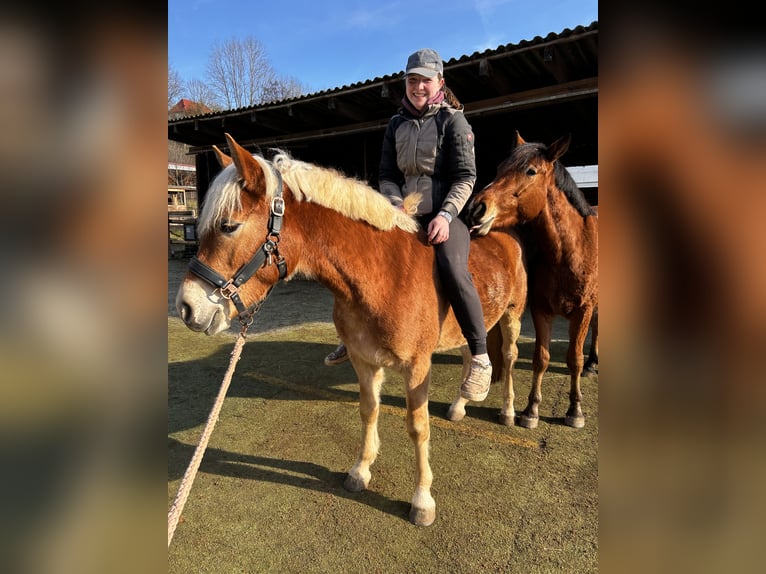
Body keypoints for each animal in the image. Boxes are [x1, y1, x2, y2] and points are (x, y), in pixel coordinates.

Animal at [176, 134, 528, 528]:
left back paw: (510, 412)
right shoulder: (364, 361)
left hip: (512, 318)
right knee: (470, 352)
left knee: (509, 358)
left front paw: (422, 500)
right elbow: (368, 411)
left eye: (228, 226)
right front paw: (361, 471)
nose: (186, 307)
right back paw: (460, 404)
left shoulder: (417, 368)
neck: (383, 276)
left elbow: (417, 427)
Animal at [468, 130, 600, 428]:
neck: (568, 253)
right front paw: (531, 410)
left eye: (530, 171)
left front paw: (575, 410)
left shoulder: (583, 310)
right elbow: (542, 357)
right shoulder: (541, 310)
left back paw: (592, 364)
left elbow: (574, 358)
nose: (477, 208)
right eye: (499, 168)